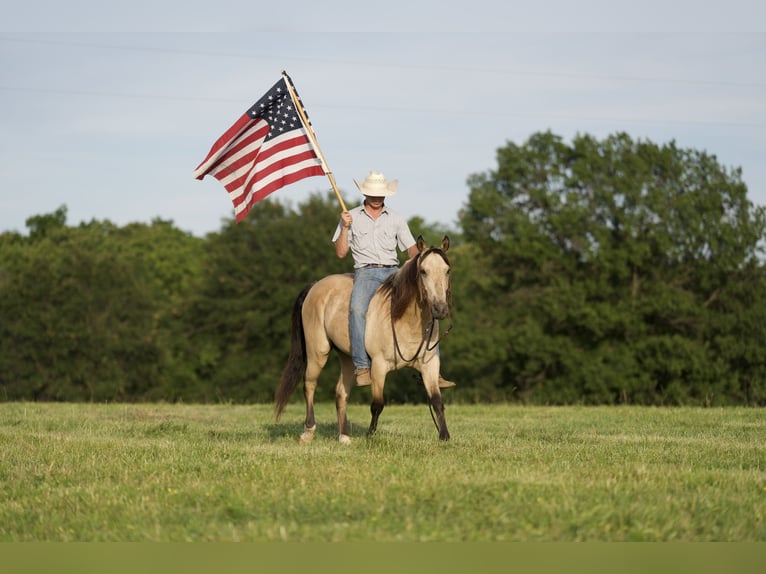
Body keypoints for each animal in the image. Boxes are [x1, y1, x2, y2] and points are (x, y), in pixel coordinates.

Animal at [276, 236, 456, 444]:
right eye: (423, 271)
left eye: (447, 270)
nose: (440, 309)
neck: (403, 319)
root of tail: (315, 285)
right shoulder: (379, 366)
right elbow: (377, 404)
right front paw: (370, 435)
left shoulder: (429, 365)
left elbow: (437, 401)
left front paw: (444, 436)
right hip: (317, 353)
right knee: (309, 385)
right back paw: (308, 432)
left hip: (346, 357)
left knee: (340, 393)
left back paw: (344, 437)